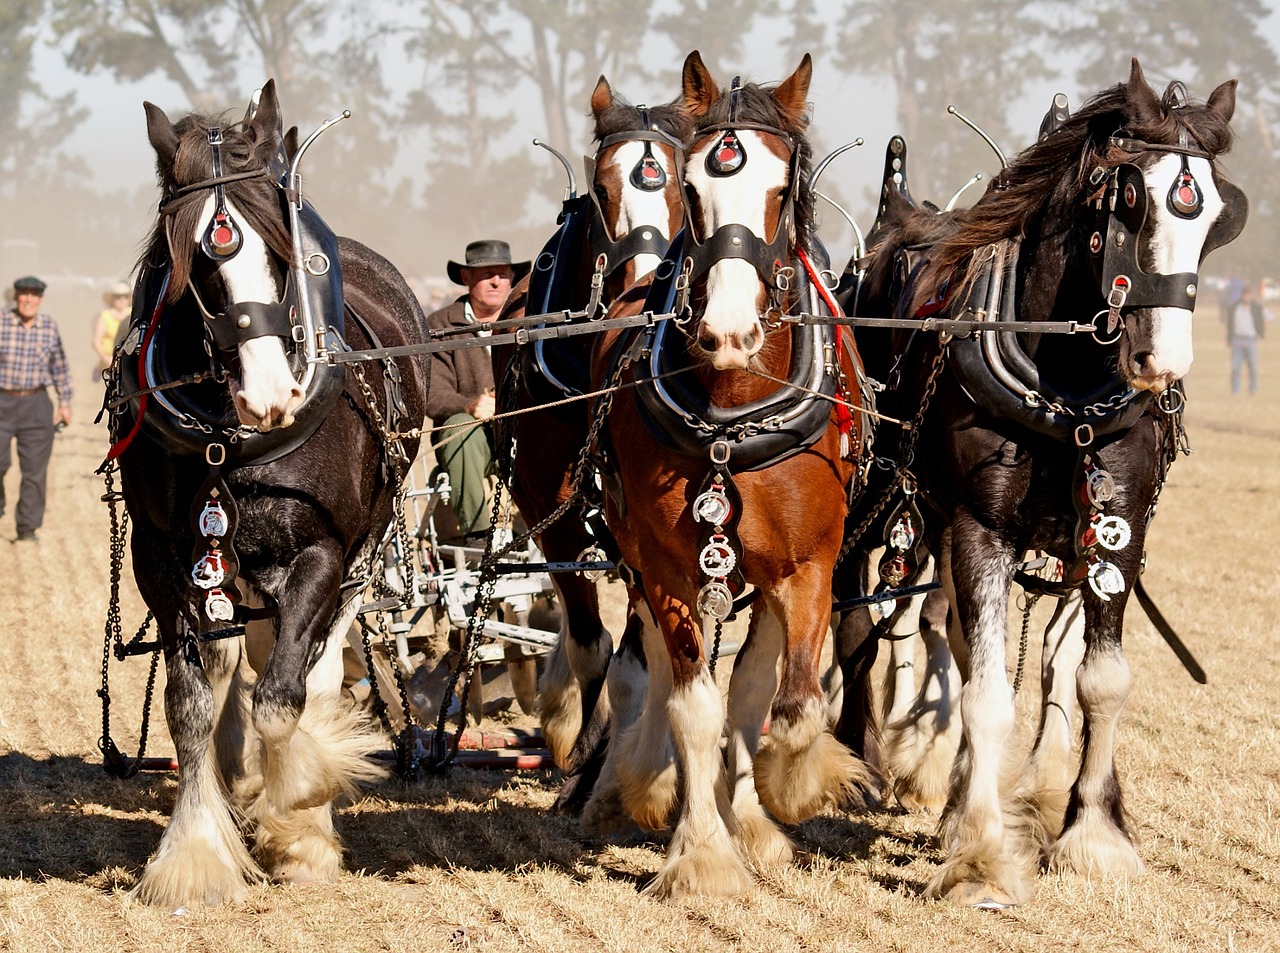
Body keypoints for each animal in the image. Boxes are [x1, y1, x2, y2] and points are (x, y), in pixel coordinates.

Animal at [110, 79, 430, 900]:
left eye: (281, 253)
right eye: (194, 262)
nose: (271, 397)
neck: (233, 439)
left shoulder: (321, 551)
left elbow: (284, 700)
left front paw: (301, 813)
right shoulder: (165, 559)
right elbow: (191, 704)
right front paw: (195, 856)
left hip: (360, 556)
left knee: (313, 673)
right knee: (237, 664)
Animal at [488, 76, 691, 787]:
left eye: (686, 184)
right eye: (602, 190)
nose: (642, 290)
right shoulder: (543, 494)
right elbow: (586, 637)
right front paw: (582, 742)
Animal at [591, 54, 875, 900]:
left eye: (783, 190)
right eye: (691, 190)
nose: (726, 332)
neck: (730, 410)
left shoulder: (810, 560)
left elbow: (791, 704)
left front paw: (788, 790)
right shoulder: (667, 564)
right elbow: (693, 705)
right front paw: (703, 852)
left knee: (755, 683)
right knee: (657, 667)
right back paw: (650, 780)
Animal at [834, 61, 1244, 905]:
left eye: (1218, 213)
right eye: (1130, 201)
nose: (1164, 361)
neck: (1071, 385)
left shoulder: (1116, 530)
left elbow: (1099, 678)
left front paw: (1091, 831)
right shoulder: (980, 527)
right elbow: (988, 692)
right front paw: (980, 859)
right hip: (877, 498)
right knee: (855, 624)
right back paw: (849, 762)